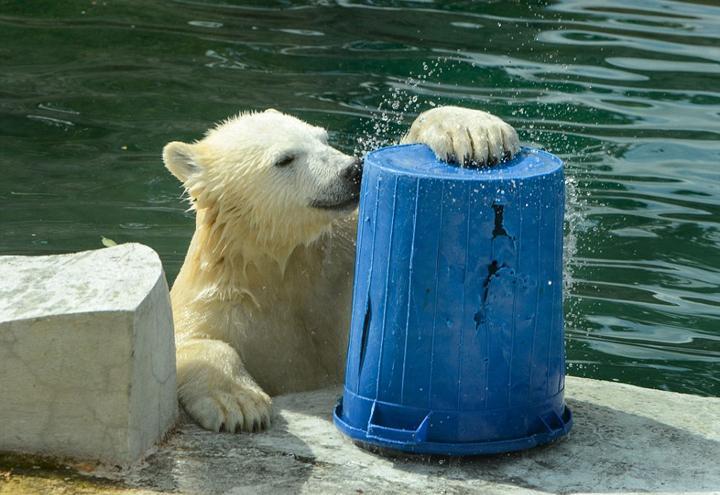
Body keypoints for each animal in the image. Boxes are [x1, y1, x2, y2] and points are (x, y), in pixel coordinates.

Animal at [162, 105, 516, 434]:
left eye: (323, 138)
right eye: (285, 159)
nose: (352, 170)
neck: (277, 270)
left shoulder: (339, 264)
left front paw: (472, 133)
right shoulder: (221, 306)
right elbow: (188, 344)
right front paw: (239, 402)